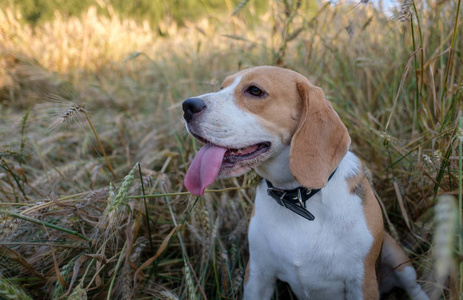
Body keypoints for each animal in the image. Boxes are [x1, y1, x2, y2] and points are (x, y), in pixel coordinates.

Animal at [180, 67, 428, 298]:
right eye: (222, 87)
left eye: (255, 91)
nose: (187, 106)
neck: (296, 196)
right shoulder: (258, 275)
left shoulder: (362, 282)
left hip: (397, 258)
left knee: (415, 287)